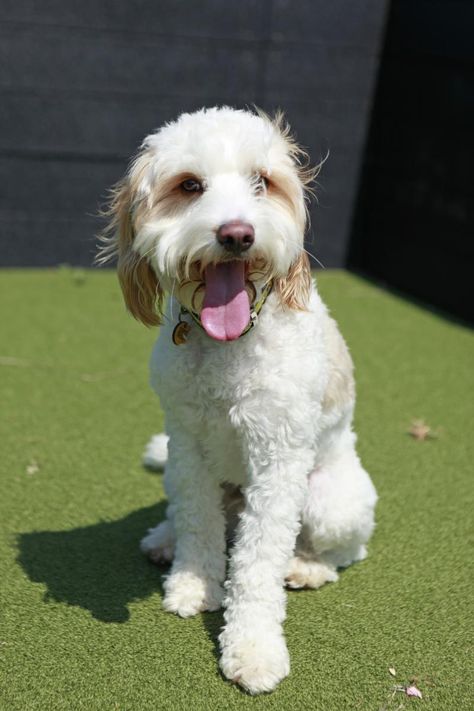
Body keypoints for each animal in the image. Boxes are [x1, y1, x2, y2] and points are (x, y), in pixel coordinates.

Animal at [97, 107, 378, 696]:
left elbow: (257, 561)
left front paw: (252, 650)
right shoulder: (186, 443)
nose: (236, 233)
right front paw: (194, 584)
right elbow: (199, 522)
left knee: (343, 549)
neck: (230, 343)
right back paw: (164, 538)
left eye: (262, 182)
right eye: (189, 186)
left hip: (330, 501)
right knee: (196, 514)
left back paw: (308, 566)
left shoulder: (277, 461)